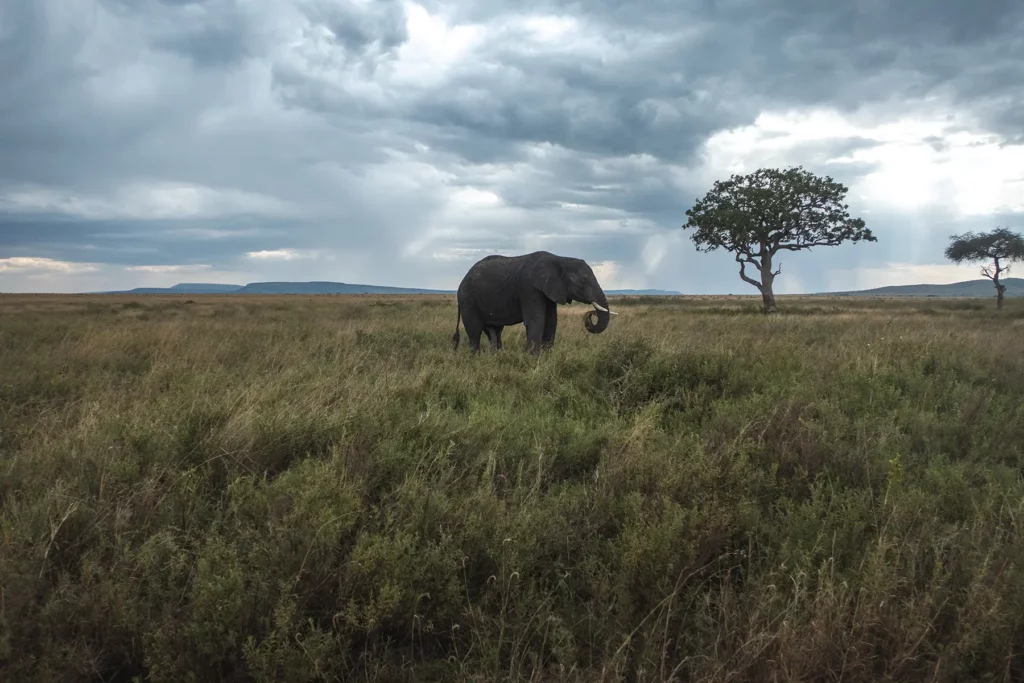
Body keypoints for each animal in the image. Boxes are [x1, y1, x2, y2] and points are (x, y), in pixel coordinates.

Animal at [451, 250, 617, 355]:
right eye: (583, 280)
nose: (591, 314)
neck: (561, 258)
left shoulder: (550, 290)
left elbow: (551, 322)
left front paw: (547, 357)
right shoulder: (529, 288)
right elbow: (536, 321)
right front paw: (533, 359)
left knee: (495, 331)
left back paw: (496, 356)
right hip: (467, 299)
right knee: (475, 331)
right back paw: (476, 358)